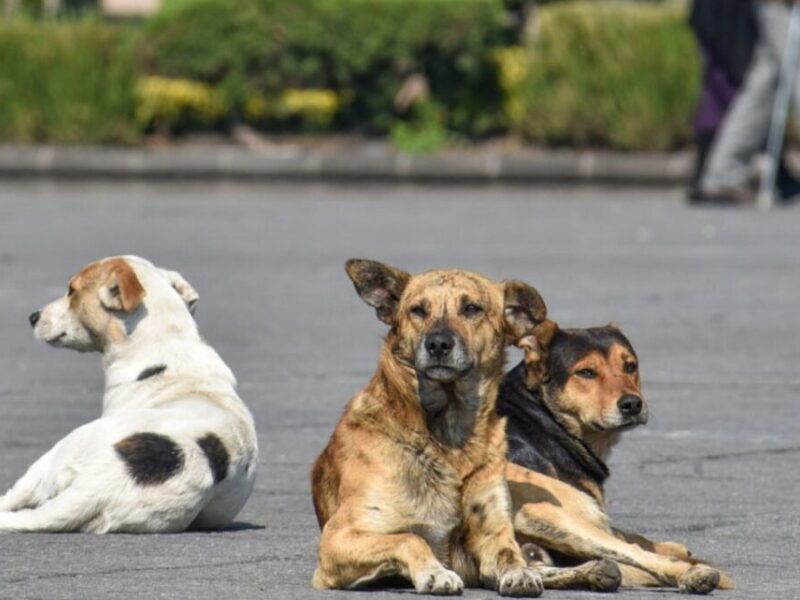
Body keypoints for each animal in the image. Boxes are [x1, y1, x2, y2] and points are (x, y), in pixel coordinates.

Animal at [312, 260, 552, 596]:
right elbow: (409, 537)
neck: (448, 438)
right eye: (418, 310)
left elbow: (508, 552)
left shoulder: (491, 531)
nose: (438, 344)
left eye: (472, 308)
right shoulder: (339, 537)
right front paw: (435, 572)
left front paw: (521, 572)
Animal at [500, 322, 732, 592]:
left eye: (630, 366)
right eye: (586, 373)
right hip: (549, 516)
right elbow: (631, 540)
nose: (632, 404)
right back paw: (694, 574)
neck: (541, 414)